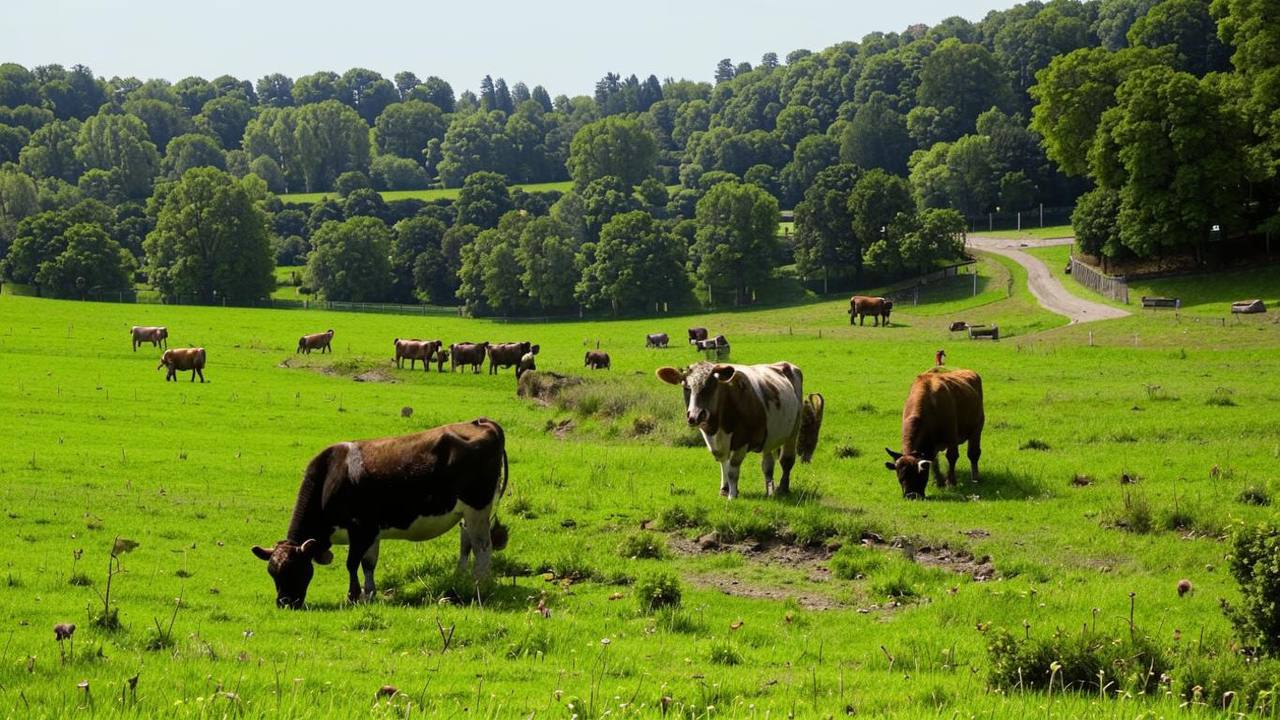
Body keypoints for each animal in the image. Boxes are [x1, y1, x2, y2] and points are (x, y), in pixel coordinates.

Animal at [249, 415, 509, 604]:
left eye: (297, 570)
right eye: (273, 572)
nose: (284, 602)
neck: (331, 477)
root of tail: (480, 422)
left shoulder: (360, 528)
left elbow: (352, 563)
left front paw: (353, 596)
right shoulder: (371, 532)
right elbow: (368, 563)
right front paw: (369, 593)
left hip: (478, 508)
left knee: (483, 547)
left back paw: (478, 584)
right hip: (468, 513)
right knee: (467, 544)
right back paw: (460, 578)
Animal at [655, 361, 824, 497]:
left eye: (711, 386)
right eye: (686, 387)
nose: (695, 416)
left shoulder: (742, 441)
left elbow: (732, 468)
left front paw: (733, 494)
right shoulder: (712, 439)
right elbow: (723, 462)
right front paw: (725, 489)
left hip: (793, 430)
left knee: (786, 460)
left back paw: (782, 488)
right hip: (769, 436)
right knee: (767, 465)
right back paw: (769, 490)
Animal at [885, 366, 983, 497]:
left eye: (918, 475)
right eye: (900, 478)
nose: (911, 496)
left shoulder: (951, 437)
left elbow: (952, 457)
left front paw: (951, 482)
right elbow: (933, 462)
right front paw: (938, 482)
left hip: (977, 428)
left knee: (973, 453)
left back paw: (975, 478)